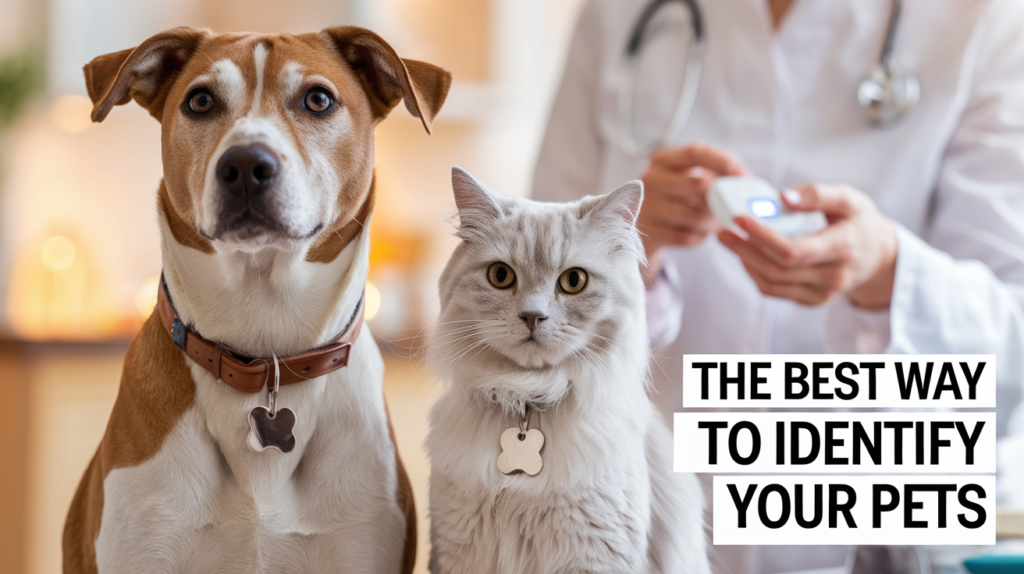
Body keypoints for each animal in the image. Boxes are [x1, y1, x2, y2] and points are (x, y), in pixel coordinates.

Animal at [425, 166, 712, 572]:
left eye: (573, 281)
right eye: (500, 276)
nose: (532, 317)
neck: (529, 397)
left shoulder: (593, 558)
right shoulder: (459, 553)